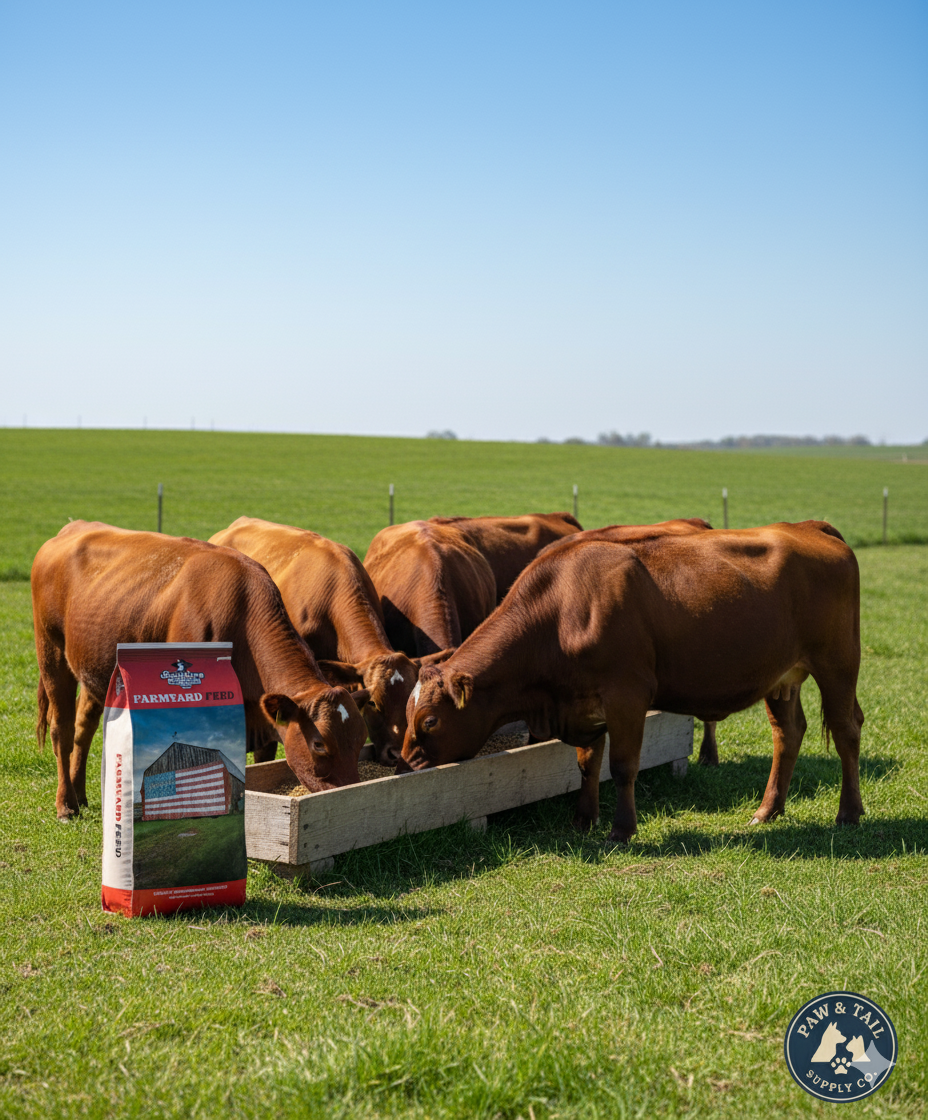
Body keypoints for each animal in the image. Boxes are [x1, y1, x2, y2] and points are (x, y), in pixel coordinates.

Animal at [32, 521, 371, 820]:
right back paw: (66, 805)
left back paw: (80, 795)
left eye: (360, 738)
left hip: (95, 667)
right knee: (62, 729)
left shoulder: (263, 719)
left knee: (83, 727)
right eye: (319, 745)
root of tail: (74, 527)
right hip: (50, 651)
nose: (349, 795)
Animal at [400, 522, 864, 843]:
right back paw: (768, 810)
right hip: (781, 677)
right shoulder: (582, 704)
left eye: (430, 721)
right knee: (788, 733)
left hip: (838, 665)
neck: (560, 612)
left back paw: (848, 813)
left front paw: (622, 829)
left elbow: (622, 766)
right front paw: (583, 820)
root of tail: (808, 527)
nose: (405, 762)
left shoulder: (627, 695)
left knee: (847, 731)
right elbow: (587, 764)